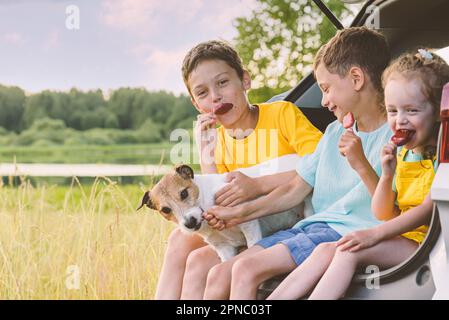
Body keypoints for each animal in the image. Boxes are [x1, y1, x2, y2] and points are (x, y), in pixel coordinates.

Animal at [138, 154, 310, 262]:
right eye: (166, 210)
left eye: (184, 193)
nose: (190, 223)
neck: (206, 200)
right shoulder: (224, 248)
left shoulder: (250, 227)